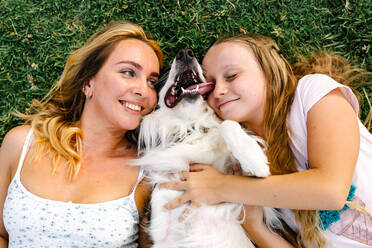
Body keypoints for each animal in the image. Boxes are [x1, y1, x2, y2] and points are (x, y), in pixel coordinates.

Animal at [134, 49, 282, 248]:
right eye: (165, 69)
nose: (185, 52)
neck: (188, 126)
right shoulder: (161, 214)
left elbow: (227, 124)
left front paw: (255, 159)